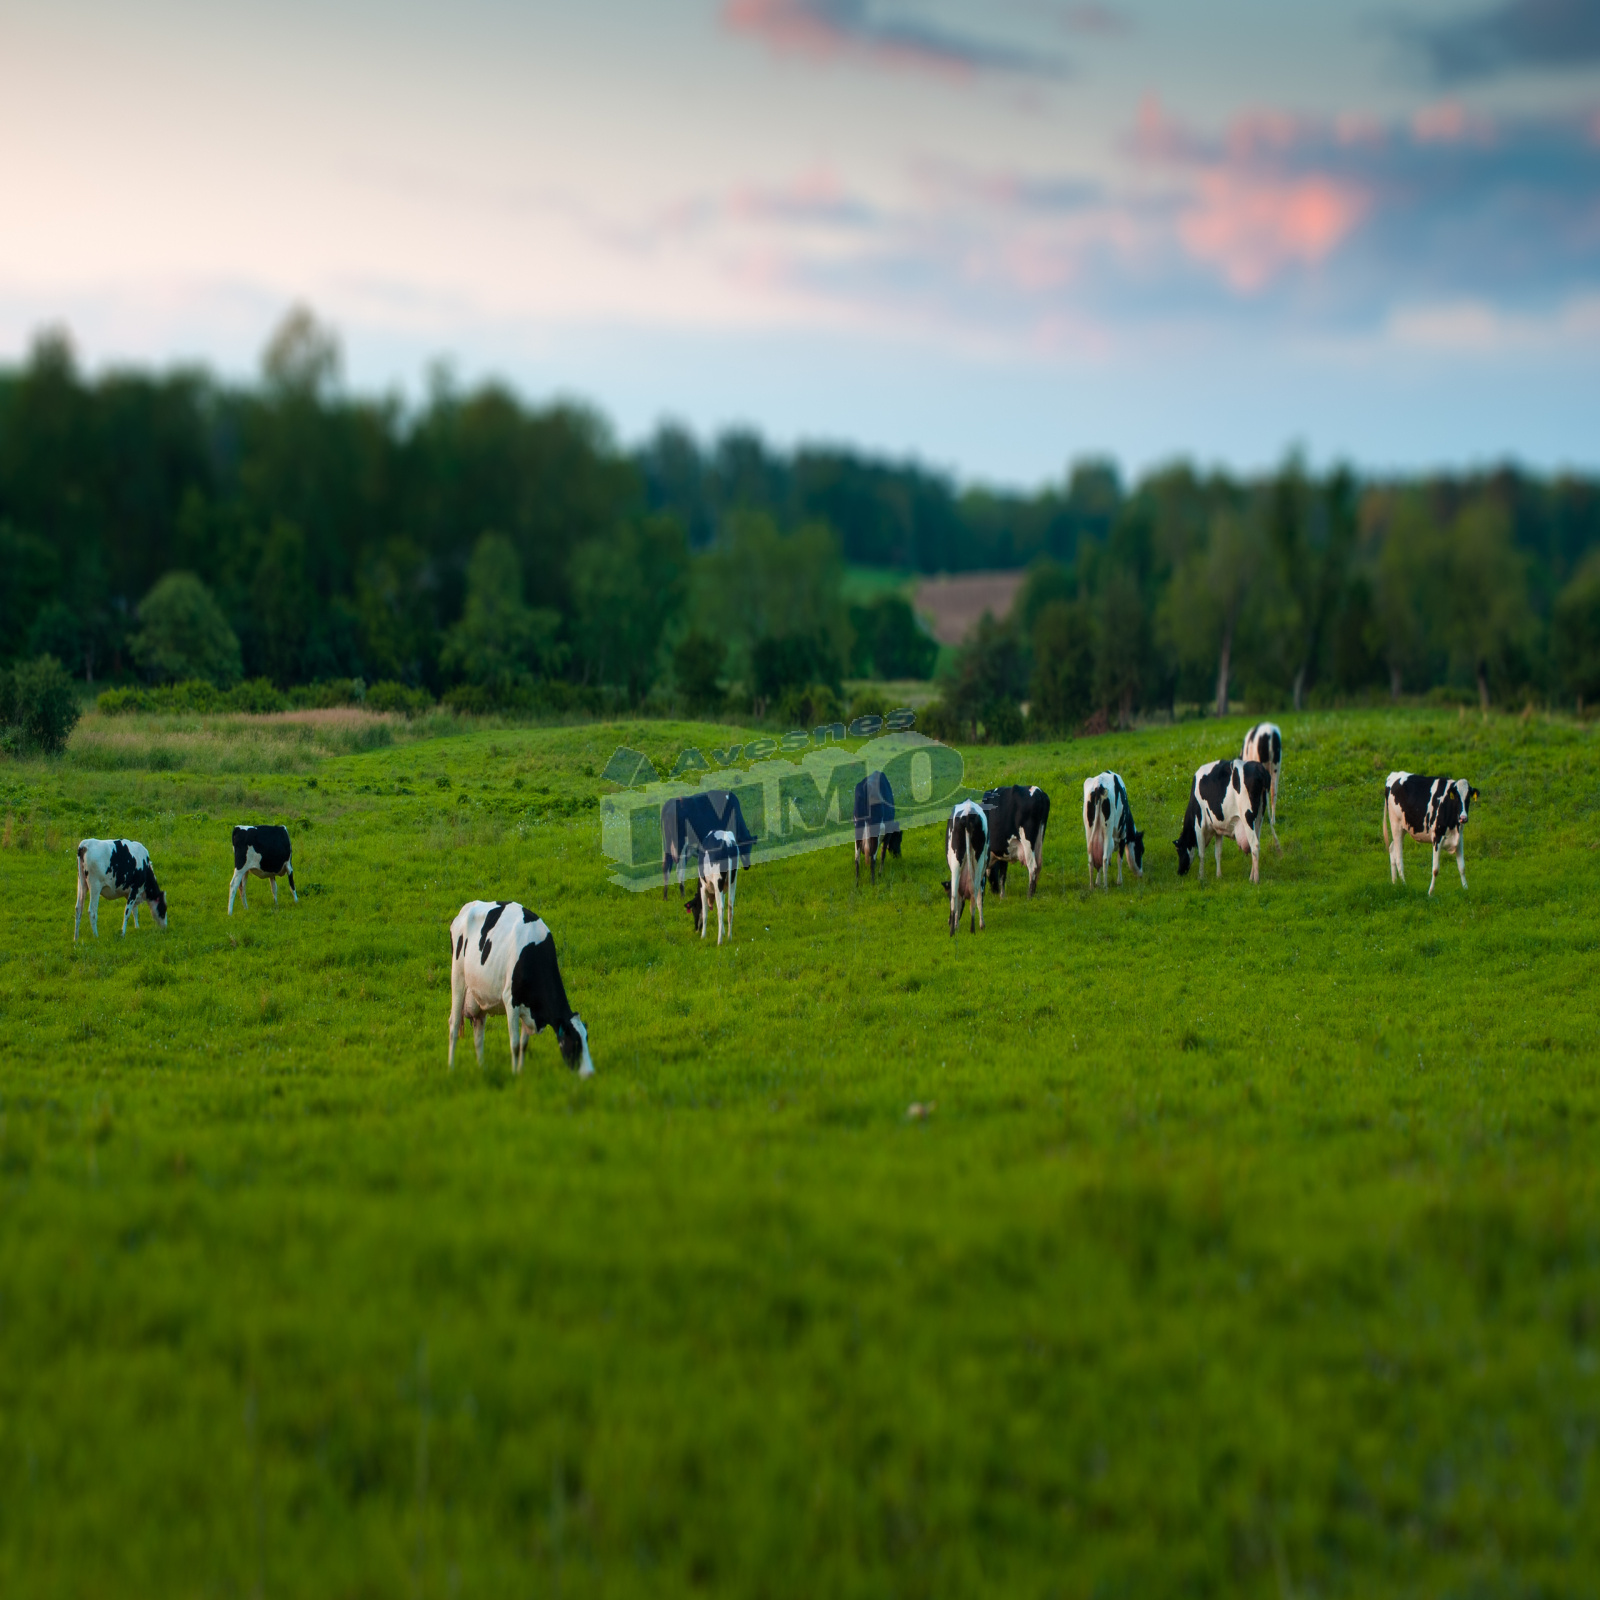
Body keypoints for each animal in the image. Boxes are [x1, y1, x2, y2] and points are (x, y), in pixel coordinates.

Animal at [448, 900, 593, 1076]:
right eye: (575, 1043)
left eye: (587, 1040)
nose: (590, 1073)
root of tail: (468, 906)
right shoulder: (511, 1000)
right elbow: (515, 1045)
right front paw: (514, 1074)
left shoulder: (529, 1007)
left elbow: (524, 1045)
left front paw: (521, 1073)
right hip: (458, 978)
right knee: (454, 1025)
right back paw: (451, 1068)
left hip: (479, 995)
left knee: (478, 1035)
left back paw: (482, 1069)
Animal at [944, 799, 990, 935]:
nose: (948, 921)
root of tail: (968, 812)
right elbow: (980, 896)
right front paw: (982, 924)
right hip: (978, 862)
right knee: (974, 893)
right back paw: (972, 929)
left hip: (957, 862)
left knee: (955, 895)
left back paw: (953, 931)